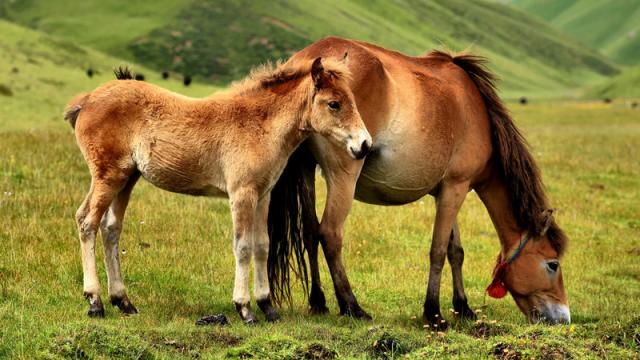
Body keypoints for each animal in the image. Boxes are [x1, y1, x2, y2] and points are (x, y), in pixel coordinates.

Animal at [63, 57, 370, 324]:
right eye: (334, 104)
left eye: (353, 101)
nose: (364, 145)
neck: (259, 124)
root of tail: (86, 100)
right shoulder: (242, 194)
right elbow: (243, 247)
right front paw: (245, 309)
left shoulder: (263, 195)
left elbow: (262, 245)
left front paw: (268, 307)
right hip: (108, 175)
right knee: (87, 220)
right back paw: (95, 302)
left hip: (128, 177)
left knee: (111, 228)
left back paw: (124, 302)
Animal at [270, 37, 568, 326]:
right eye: (552, 264)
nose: (564, 318)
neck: (477, 112)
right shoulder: (456, 188)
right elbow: (438, 251)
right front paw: (434, 313)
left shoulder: (446, 191)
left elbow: (456, 251)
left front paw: (463, 307)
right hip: (344, 175)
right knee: (330, 234)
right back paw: (351, 306)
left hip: (306, 170)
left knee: (310, 234)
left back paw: (318, 302)